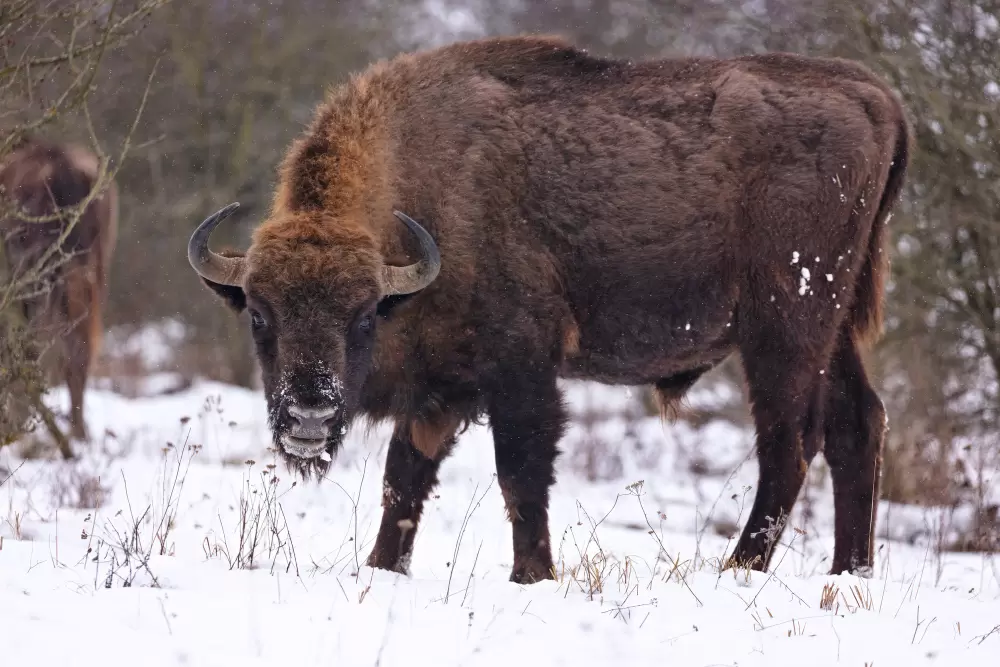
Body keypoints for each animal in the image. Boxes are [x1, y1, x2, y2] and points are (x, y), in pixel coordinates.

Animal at [184, 34, 912, 580]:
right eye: (259, 314)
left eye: (364, 314)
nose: (309, 414)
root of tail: (876, 96)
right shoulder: (439, 390)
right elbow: (404, 478)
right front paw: (383, 567)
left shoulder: (520, 370)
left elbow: (520, 475)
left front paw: (531, 575)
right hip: (834, 328)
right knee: (857, 426)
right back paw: (850, 573)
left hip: (786, 325)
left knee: (789, 443)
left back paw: (738, 569)